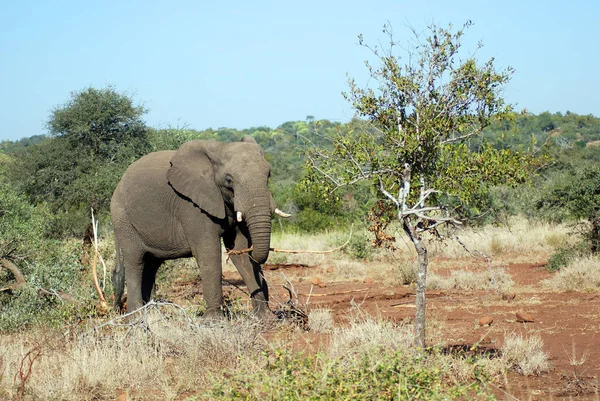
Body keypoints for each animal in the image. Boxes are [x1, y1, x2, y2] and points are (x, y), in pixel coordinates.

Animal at [112, 136, 290, 318]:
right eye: (229, 180)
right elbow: (208, 252)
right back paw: (136, 318)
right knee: (136, 262)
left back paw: (151, 315)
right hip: (122, 219)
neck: (218, 150)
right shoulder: (191, 205)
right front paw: (213, 320)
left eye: (268, 175)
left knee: (151, 265)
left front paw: (265, 318)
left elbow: (240, 253)